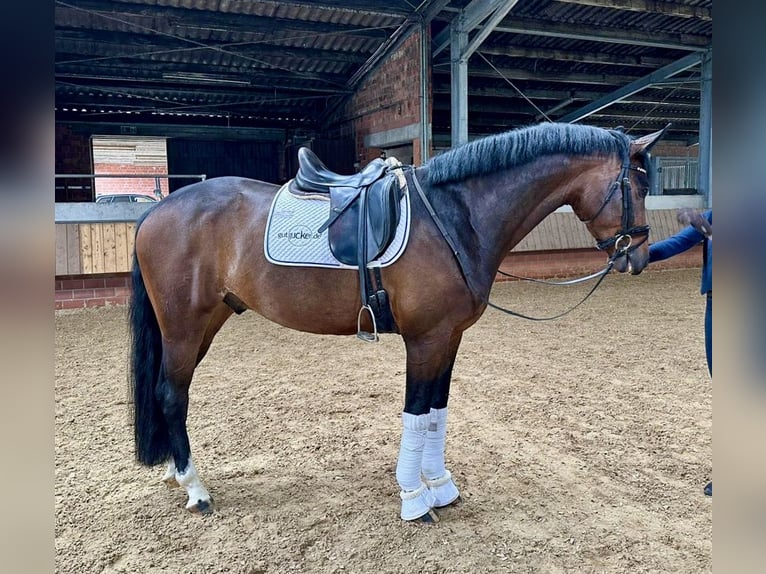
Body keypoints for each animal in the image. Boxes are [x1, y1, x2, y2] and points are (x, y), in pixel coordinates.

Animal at [129, 124, 668, 524]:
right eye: (639, 185)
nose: (640, 257)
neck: (455, 216)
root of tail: (158, 209)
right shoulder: (424, 340)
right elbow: (415, 412)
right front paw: (414, 499)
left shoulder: (449, 338)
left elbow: (436, 414)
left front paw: (441, 487)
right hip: (184, 326)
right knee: (172, 393)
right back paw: (196, 488)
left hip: (208, 321)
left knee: (168, 392)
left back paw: (175, 472)